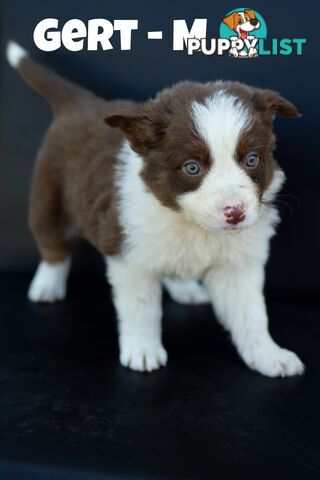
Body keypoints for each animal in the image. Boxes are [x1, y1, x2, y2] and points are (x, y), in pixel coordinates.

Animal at [6, 41, 304, 376]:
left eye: (252, 159)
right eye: (191, 167)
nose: (235, 213)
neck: (191, 224)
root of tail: (79, 104)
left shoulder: (238, 264)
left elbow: (251, 315)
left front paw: (270, 356)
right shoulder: (130, 256)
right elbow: (141, 308)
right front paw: (143, 351)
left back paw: (186, 289)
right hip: (49, 195)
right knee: (52, 242)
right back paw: (47, 286)